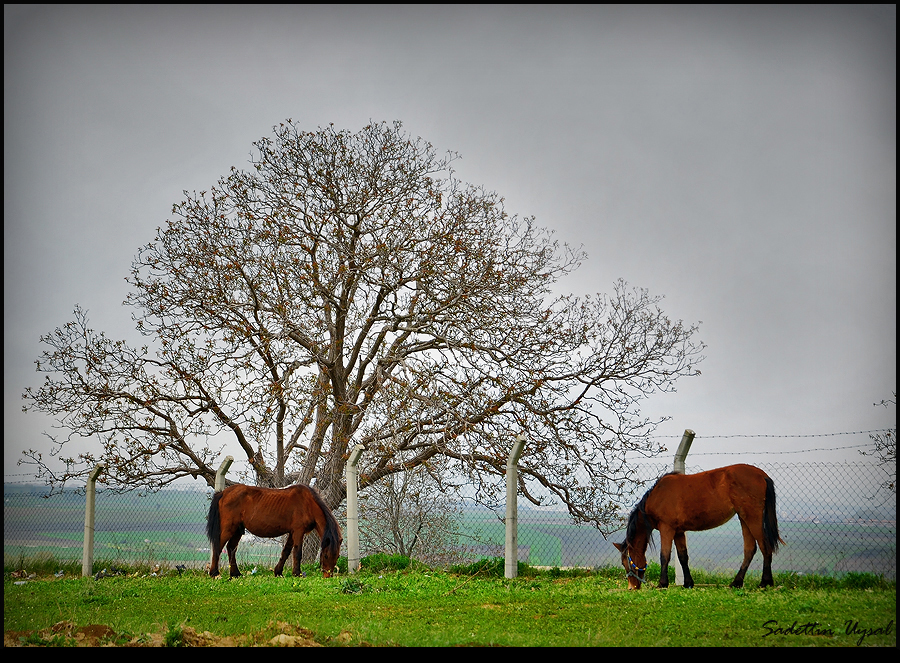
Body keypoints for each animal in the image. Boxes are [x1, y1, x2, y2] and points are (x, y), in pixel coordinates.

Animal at [206, 482, 342, 580]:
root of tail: (223, 493)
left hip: (238, 530)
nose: (327, 576)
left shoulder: (292, 533)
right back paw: (214, 573)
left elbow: (286, 552)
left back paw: (236, 574)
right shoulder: (298, 531)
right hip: (229, 528)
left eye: (337, 556)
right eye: (325, 555)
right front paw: (297, 573)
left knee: (231, 548)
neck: (308, 503)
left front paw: (278, 572)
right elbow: (297, 553)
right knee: (218, 547)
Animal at [616, 466, 784, 592]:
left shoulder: (667, 529)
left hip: (752, 517)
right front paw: (688, 583)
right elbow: (683, 557)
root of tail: (762, 475)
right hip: (744, 519)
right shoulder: (678, 532)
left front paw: (662, 583)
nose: (631, 587)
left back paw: (765, 582)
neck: (657, 496)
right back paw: (736, 583)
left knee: (765, 547)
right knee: (750, 549)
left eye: (626, 563)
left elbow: (665, 556)